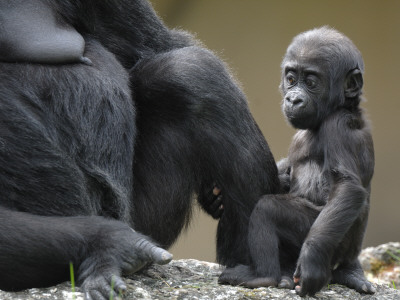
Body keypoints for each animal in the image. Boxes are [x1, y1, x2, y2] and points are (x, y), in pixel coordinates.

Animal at [219, 26, 376, 298]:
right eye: (291, 79)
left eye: (311, 82)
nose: (293, 99)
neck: (341, 107)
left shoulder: (338, 127)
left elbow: (347, 186)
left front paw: (311, 259)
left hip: (330, 242)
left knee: (269, 209)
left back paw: (264, 276)